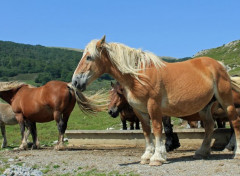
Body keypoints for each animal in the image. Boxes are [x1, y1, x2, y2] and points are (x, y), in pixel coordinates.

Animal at [71, 36, 240, 166]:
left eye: (89, 57)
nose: (75, 82)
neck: (139, 75)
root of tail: (219, 66)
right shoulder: (140, 111)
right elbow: (146, 132)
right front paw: (147, 156)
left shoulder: (154, 107)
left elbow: (158, 129)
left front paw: (157, 157)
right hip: (205, 107)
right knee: (210, 127)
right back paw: (202, 152)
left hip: (227, 103)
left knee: (235, 123)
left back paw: (236, 152)